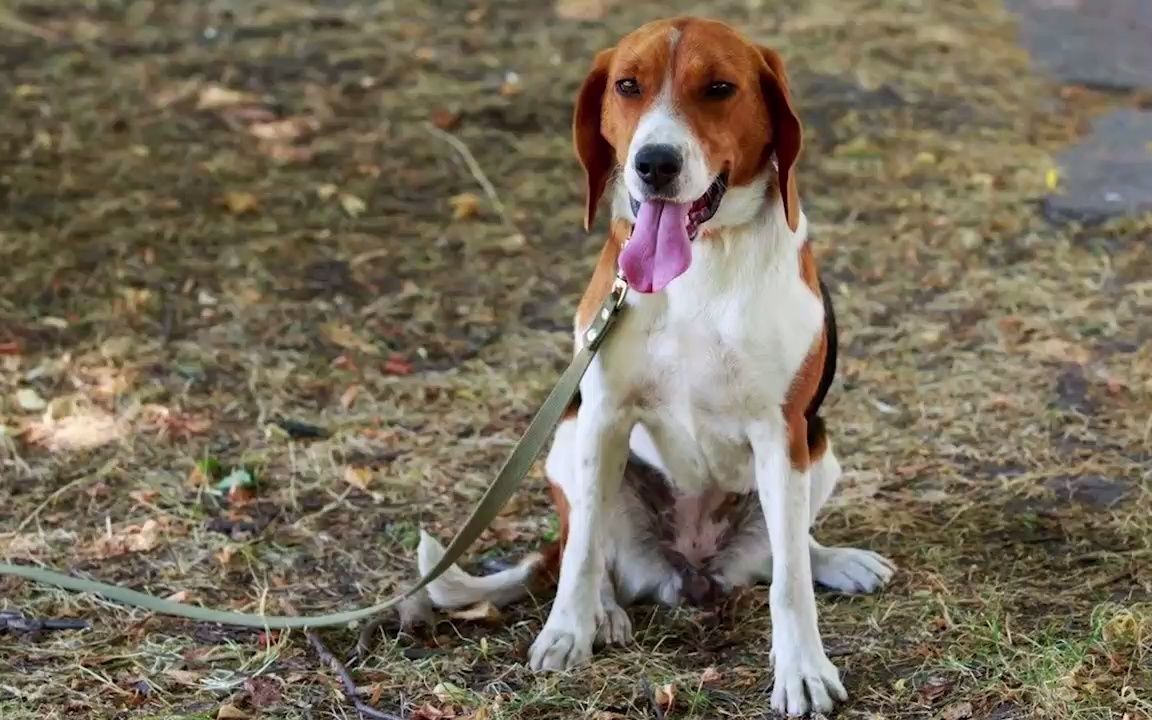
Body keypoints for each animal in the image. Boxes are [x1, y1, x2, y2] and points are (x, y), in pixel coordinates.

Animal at [419, 15, 893, 714]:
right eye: (628, 86)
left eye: (720, 88)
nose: (655, 163)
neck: (703, 261)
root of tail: (691, 571)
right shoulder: (603, 415)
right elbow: (584, 552)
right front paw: (568, 630)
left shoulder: (781, 432)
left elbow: (789, 583)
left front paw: (802, 669)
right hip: (567, 440)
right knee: (581, 547)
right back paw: (604, 612)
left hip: (820, 449)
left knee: (787, 552)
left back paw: (832, 560)